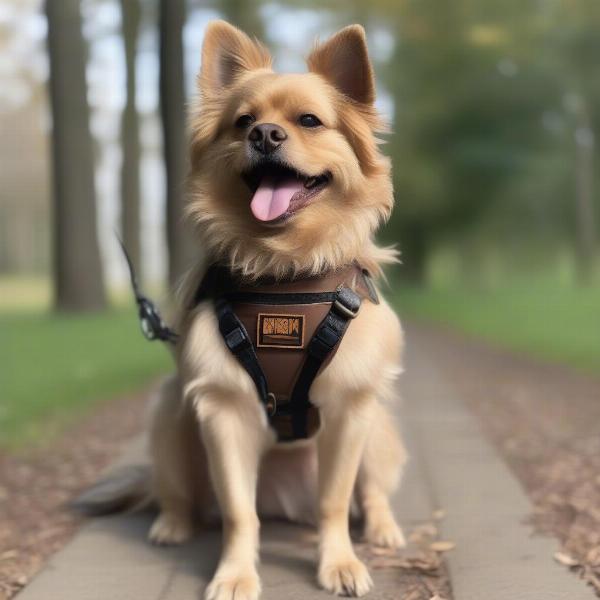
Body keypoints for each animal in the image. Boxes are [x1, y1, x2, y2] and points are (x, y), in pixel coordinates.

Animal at [91, 18, 408, 600]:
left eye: (309, 121)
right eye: (243, 123)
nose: (264, 135)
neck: (285, 271)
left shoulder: (349, 407)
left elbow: (335, 501)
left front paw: (339, 563)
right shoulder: (225, 410)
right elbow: (240, 513)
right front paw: (236, 574)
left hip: (376, 424)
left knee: (369, 492)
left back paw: (382, 528)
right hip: (172, 414)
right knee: (182, 494)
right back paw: (173, 523)